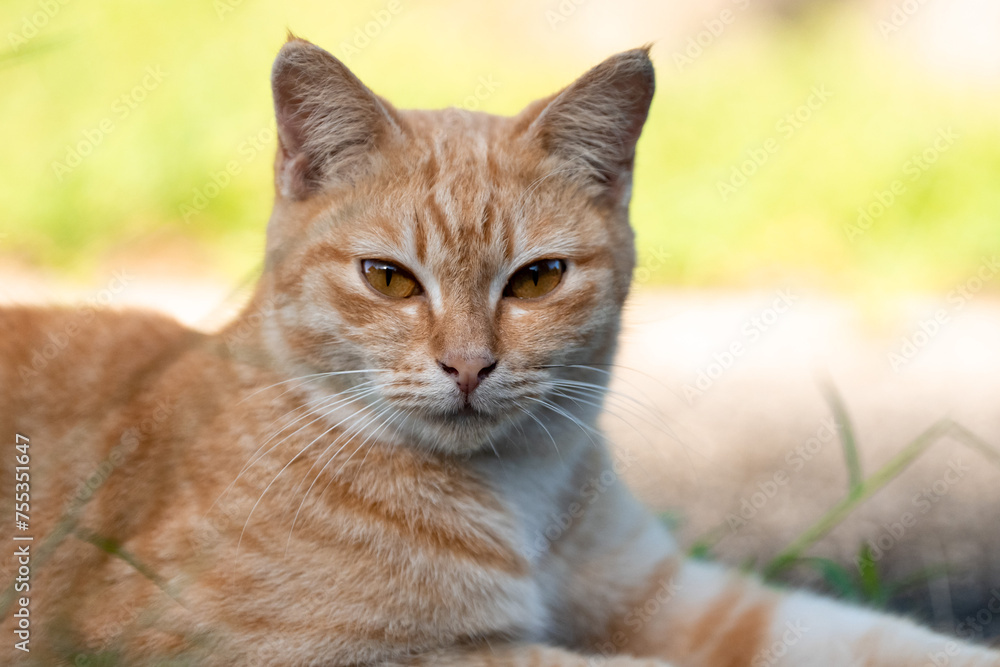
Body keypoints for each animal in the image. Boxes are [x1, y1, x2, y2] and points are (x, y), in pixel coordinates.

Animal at [1, 36, 1000, 667]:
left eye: (537, 279)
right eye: (390, 280)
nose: (470, 366)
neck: (518, 489)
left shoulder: (690, 600)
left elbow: (885, 641)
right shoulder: (310, 650)